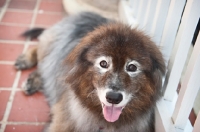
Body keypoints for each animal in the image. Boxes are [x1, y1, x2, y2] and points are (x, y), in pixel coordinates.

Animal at [14, 11, 166, 131]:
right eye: (103, 63)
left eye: (132, 67)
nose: (113, 98)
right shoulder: (61, 123)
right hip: (51, 45)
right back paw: (25, 60)